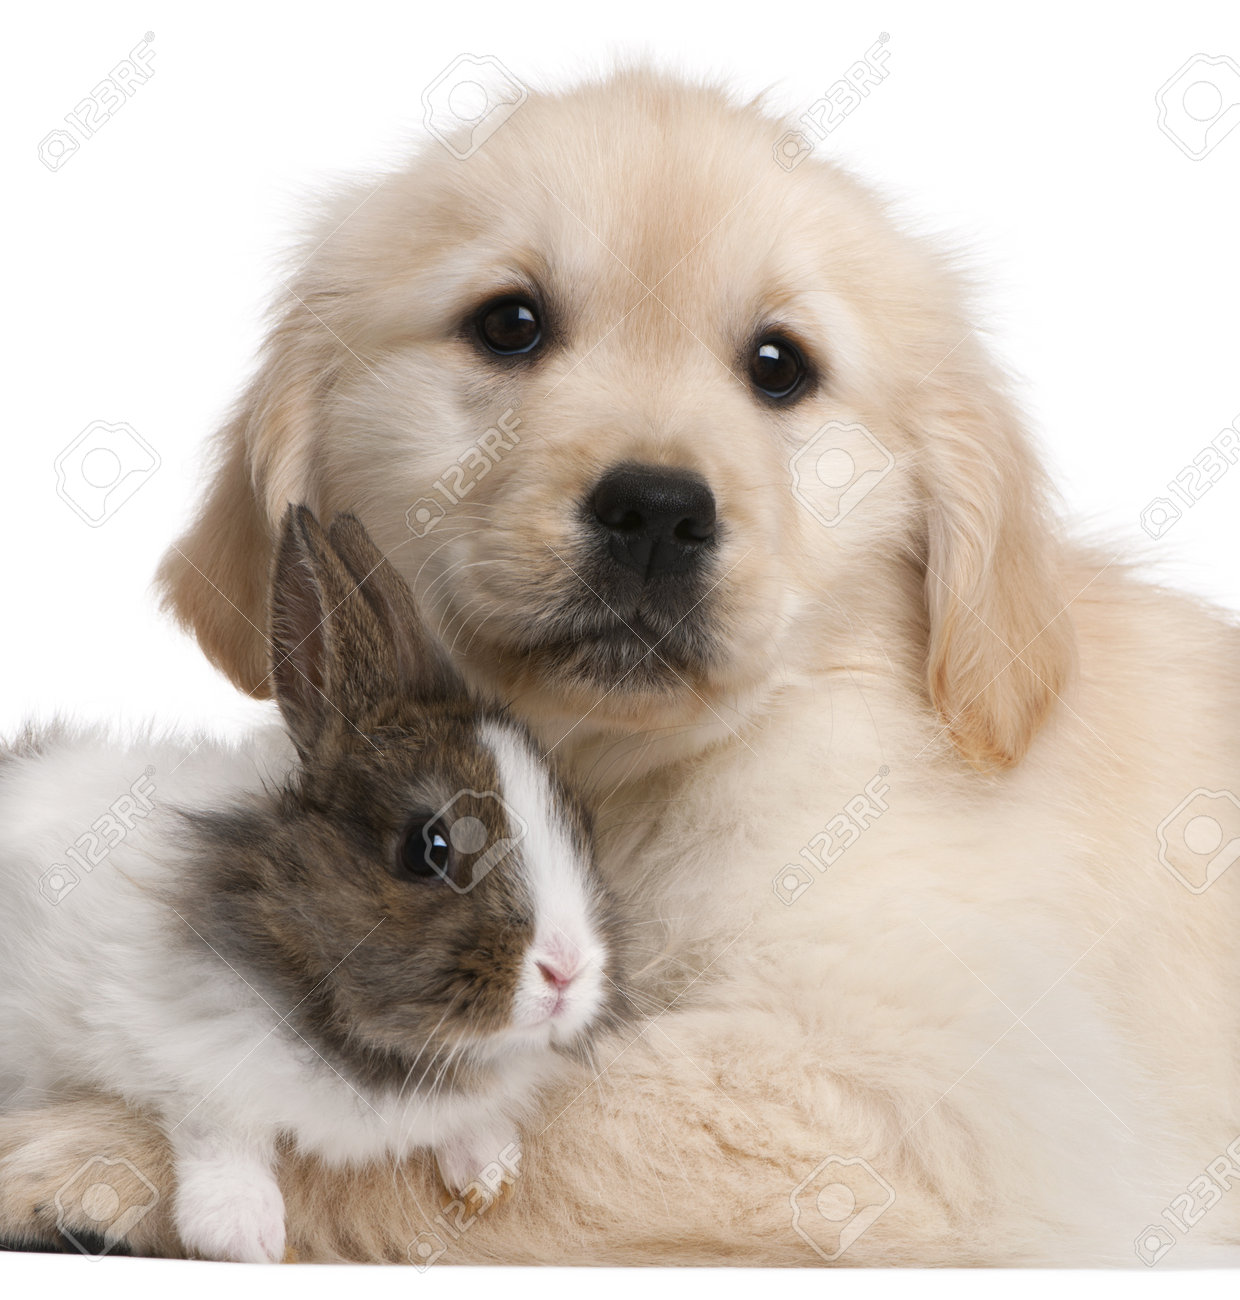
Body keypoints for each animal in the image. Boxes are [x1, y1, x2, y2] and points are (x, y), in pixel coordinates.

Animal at [0, 506, 627, 1264]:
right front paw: (244, 1231)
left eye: (581, 825)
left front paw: (489, 1171)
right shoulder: (174, 1044)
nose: (567, 971)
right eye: (429, 848)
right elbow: (220, 1126)